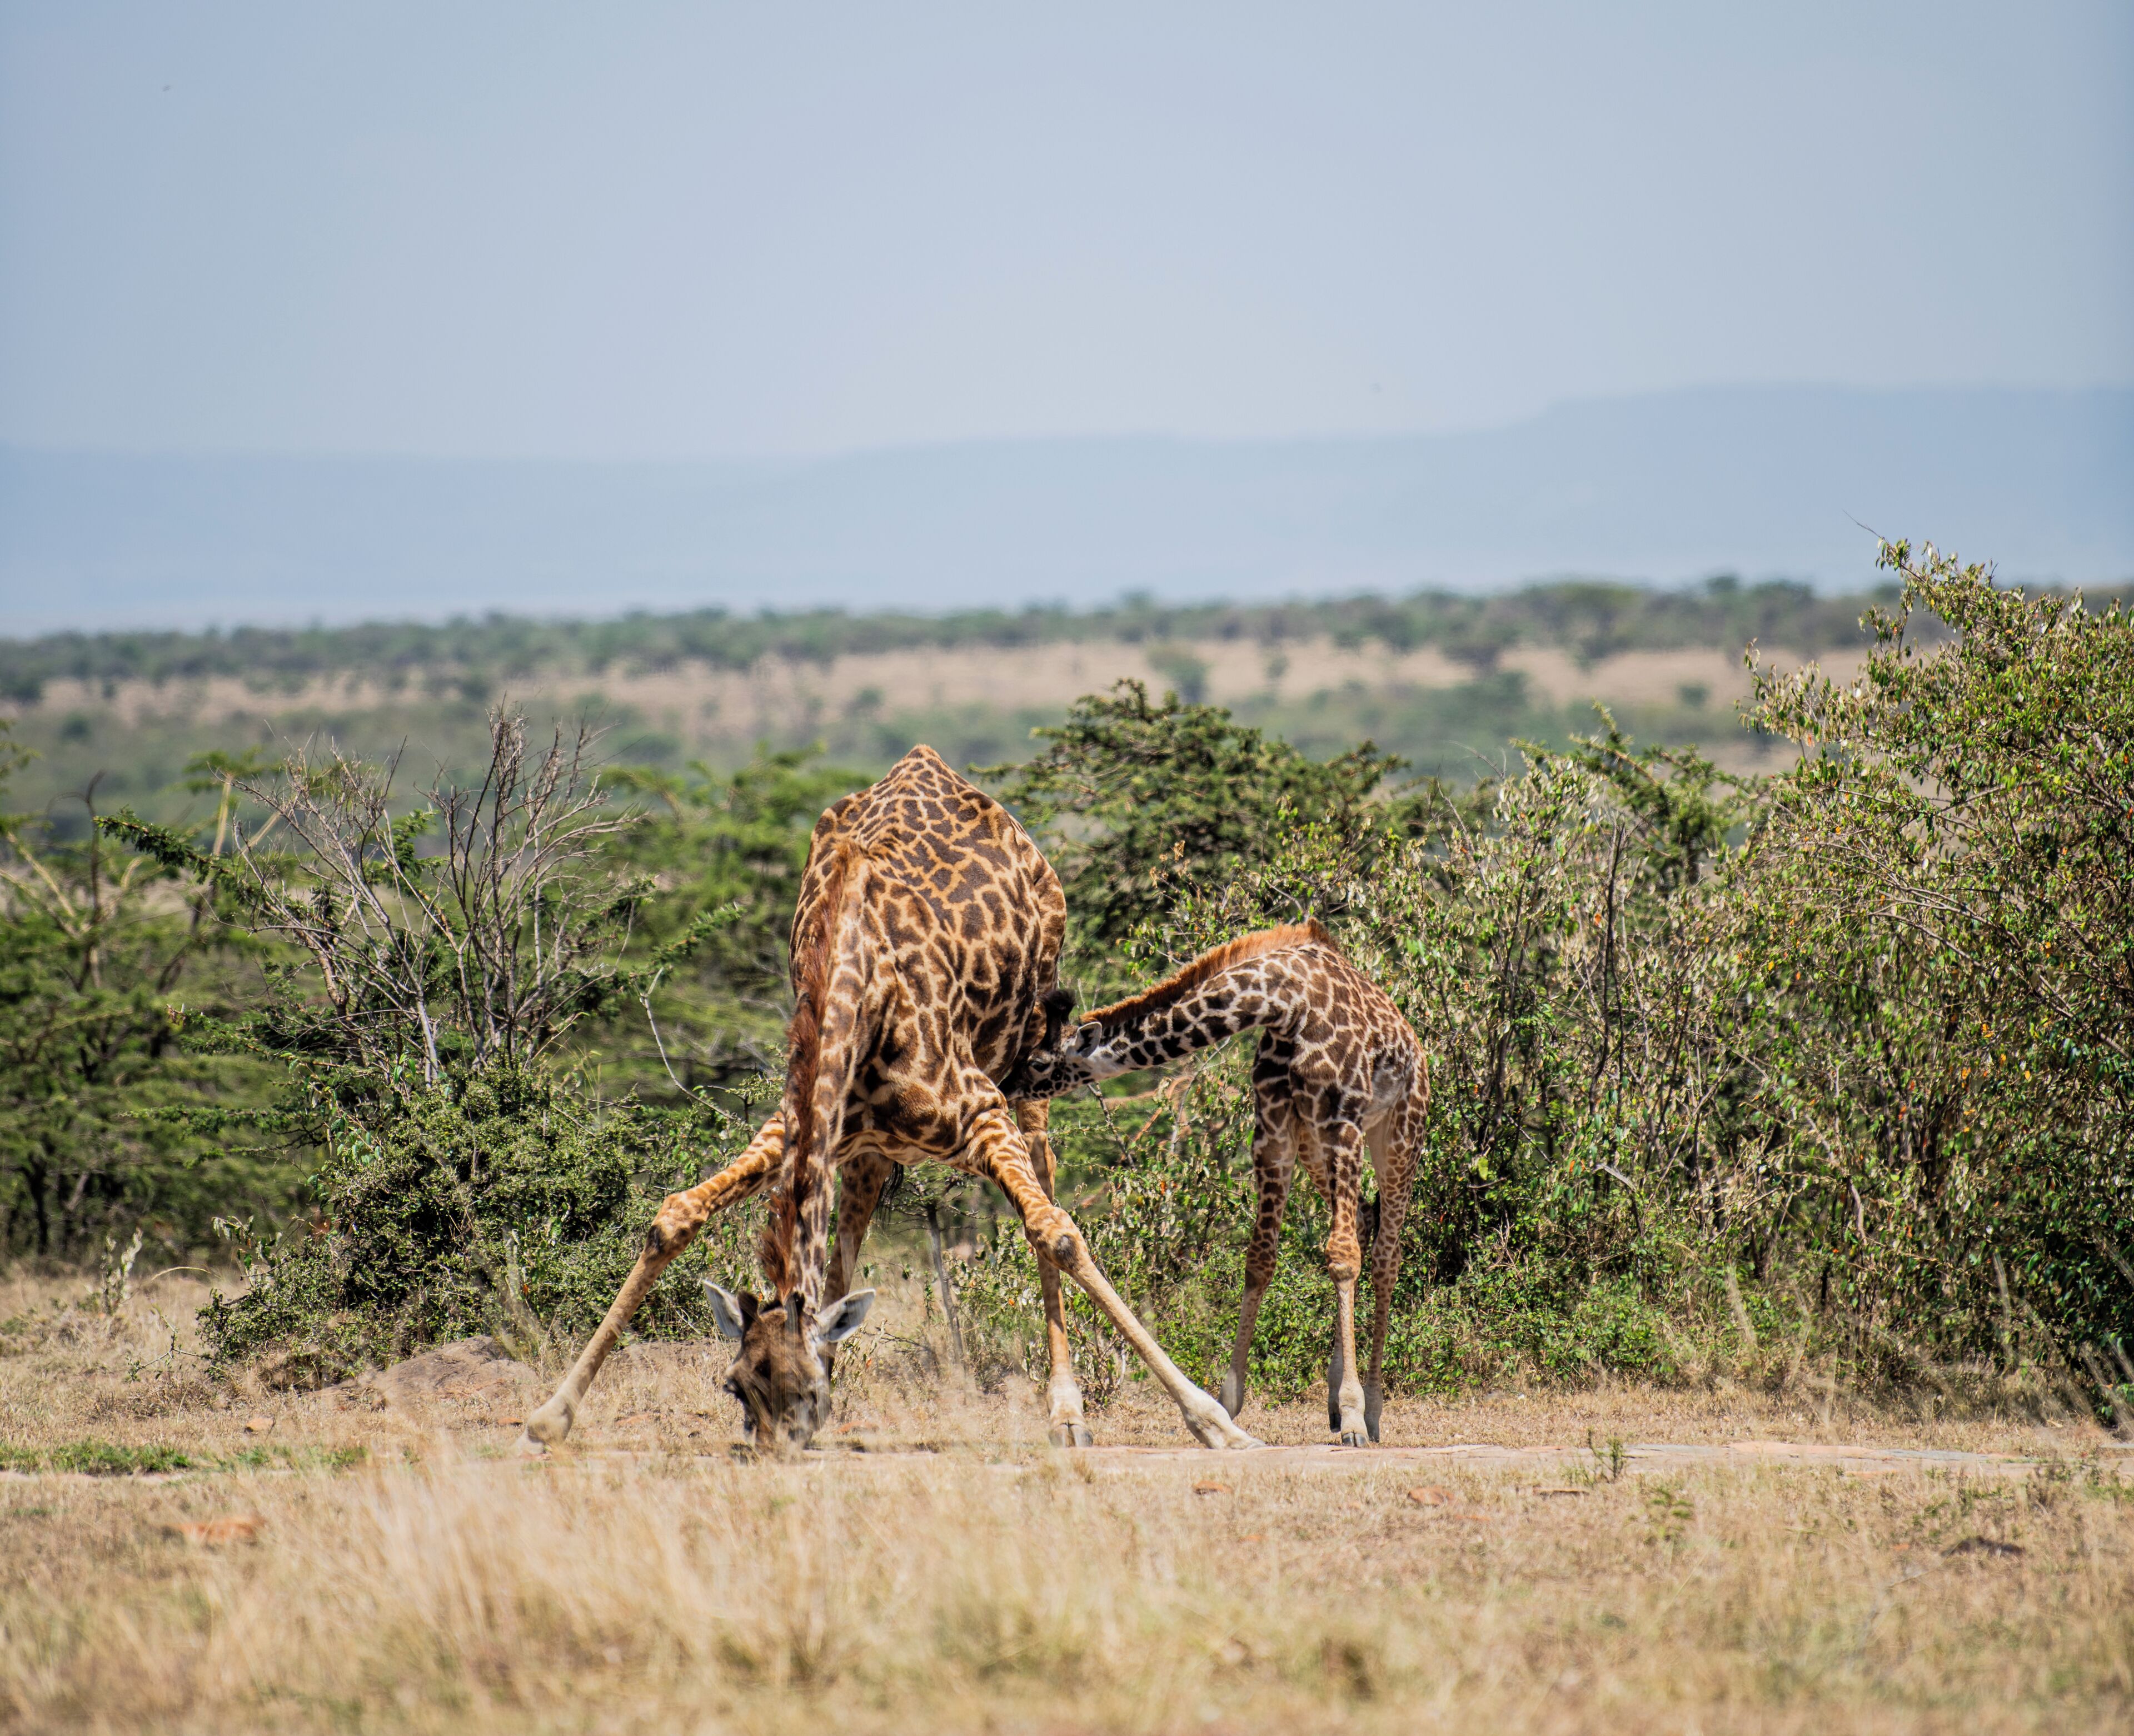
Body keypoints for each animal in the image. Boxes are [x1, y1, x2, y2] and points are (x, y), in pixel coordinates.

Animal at [520, 745, 1257, 1455]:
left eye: (806, 1389)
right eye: (735, 1387)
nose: (777, 1451)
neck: (856, 987)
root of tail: (931, 760)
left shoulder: (982, 1112)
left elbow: (1059, 1232)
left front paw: (1216, 1421)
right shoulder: (796, 1123)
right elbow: (674, 1215)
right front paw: (550, 1416)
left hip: (1031, 1058)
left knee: (1046, 1198)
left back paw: (1069, 1415)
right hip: (869, 1149)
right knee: (846, 1242)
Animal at [1006, 920, 1428, 1446]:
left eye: (1039, 1062)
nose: (1004, 1084)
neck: (1284, 1001)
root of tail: (1417, 1046)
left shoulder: (1342, 1122)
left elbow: (1343, 1258)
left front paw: (1353, 1414)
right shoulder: (1274, 1133)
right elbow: (1261, 1260)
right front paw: (1229, 1402)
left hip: (1397, 1135)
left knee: (1386, 1257)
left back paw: (1370, 1408)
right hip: (1315, 1147)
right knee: (1366, 1221)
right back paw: (1334, 1397)